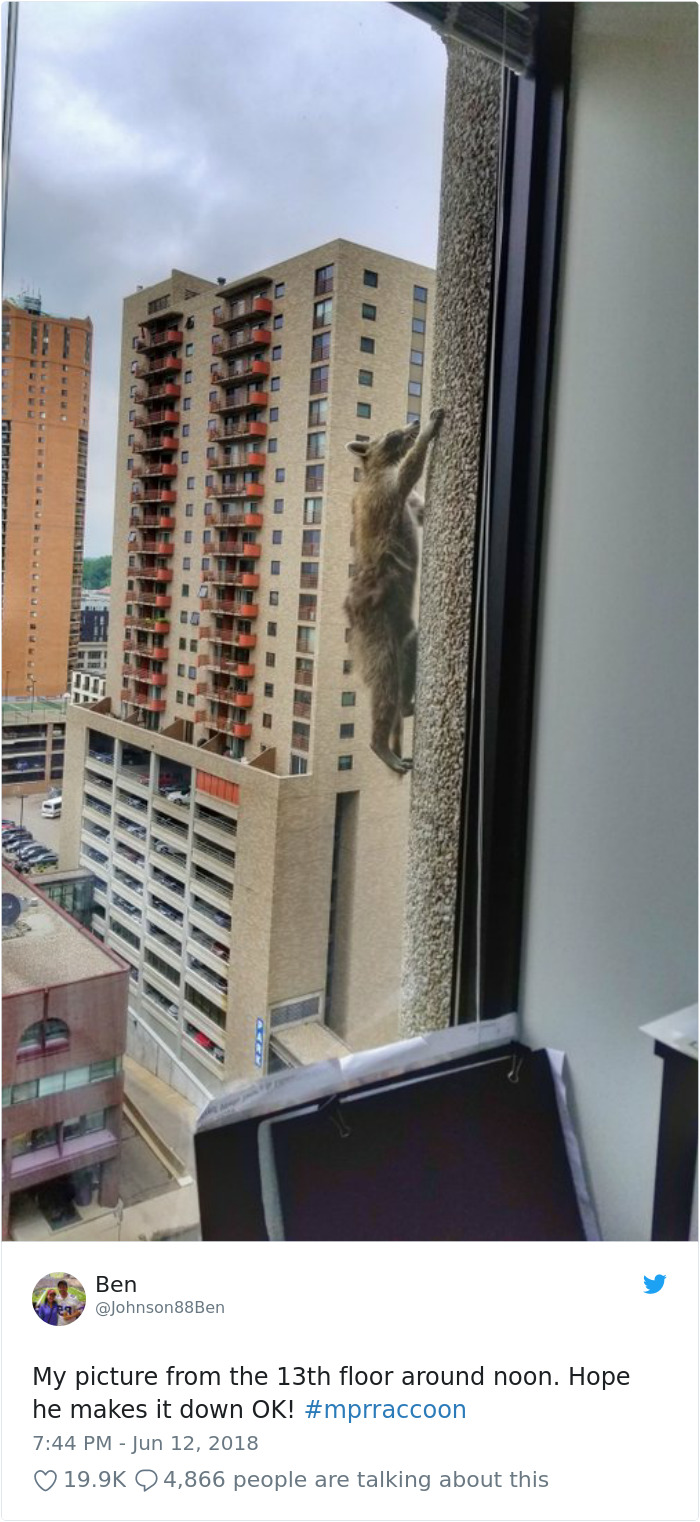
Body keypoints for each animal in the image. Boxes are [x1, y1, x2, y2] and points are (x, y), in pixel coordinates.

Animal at [344, 408, 444, 773]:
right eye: (391, 434)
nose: (412, 423)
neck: (373, 467)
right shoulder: (384, 492)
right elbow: (409, 472)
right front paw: (427, 433)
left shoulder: (405, 501)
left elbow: (420, 509)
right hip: (374, 633)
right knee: (384, 687)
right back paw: (379, 743)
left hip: (399, 629)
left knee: (410, 648)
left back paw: (406, 706)